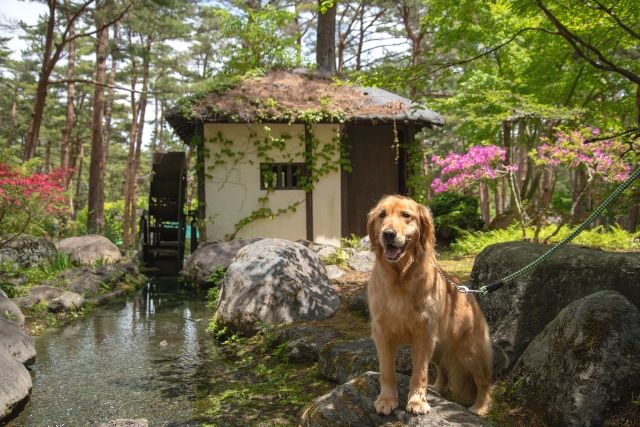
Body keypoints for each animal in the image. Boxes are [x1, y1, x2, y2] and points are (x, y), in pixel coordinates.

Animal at [368, 197, 492, 418]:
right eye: (382, 215)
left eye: (406, 215)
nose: (388, 234)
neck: (400, 276)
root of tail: (467, 291)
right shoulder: (382, 333)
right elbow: (387, 371)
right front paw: (387, 400)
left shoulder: (423, 335)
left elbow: (419, 373)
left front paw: (417, 401)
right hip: (438, 348)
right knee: (443, 370)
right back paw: (436, 389)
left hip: (469, 350)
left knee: (484, 379)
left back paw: (481, 407)